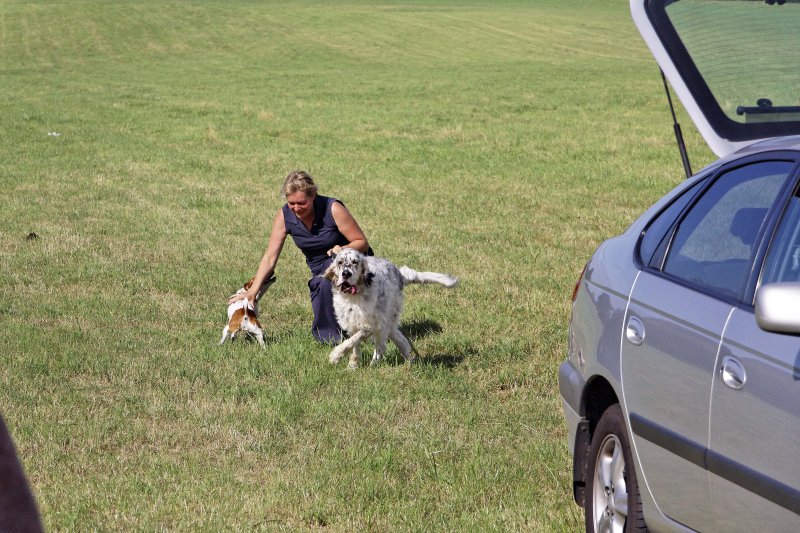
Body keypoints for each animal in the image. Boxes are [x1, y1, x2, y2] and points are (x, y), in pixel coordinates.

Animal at [322, 248, 457, 368]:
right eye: (340, 262)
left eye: (355, 262)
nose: (346, 274)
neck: (354, 297)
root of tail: (400, 275)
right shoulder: (351, 323)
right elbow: (354, 345)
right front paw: (353, 365)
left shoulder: (371, 325)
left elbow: (353, 340)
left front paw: (336, 355)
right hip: (388, 322)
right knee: (400, 340)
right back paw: (410, 360)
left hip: (386, 318)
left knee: (382, 346)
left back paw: (376, 362)